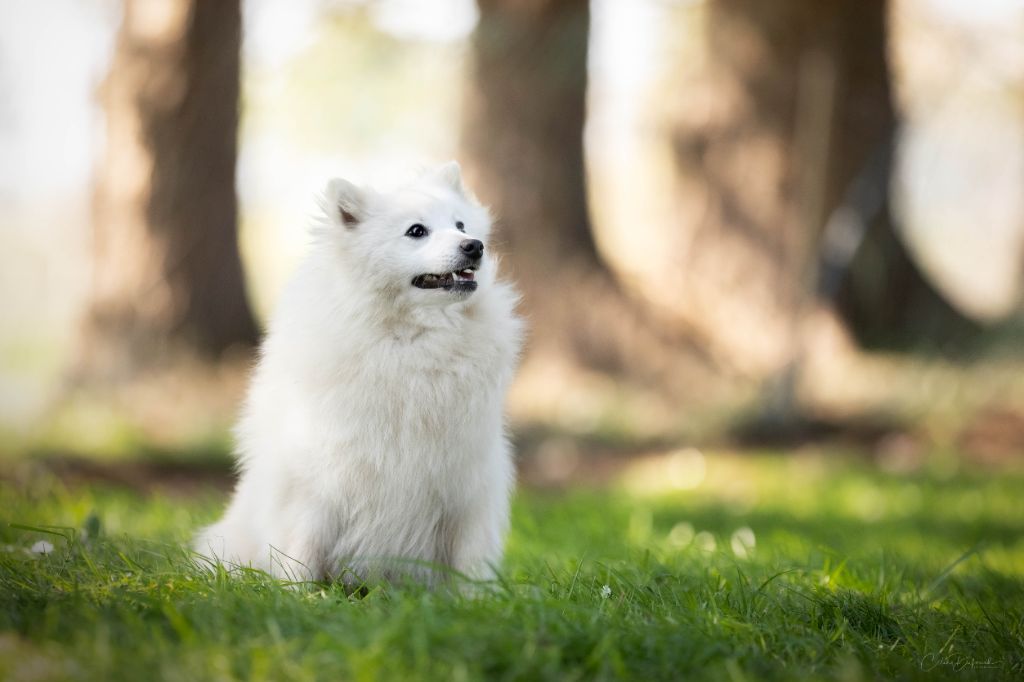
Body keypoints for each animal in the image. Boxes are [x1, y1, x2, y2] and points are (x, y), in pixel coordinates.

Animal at [195, 161, 524, 581]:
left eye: (461, 225)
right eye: (417, 231)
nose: (474, 246)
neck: (411, 343)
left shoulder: (467, 488)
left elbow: (470, 562)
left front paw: (476, 596)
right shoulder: (318, 485)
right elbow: (302, 551)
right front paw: (298, 593)